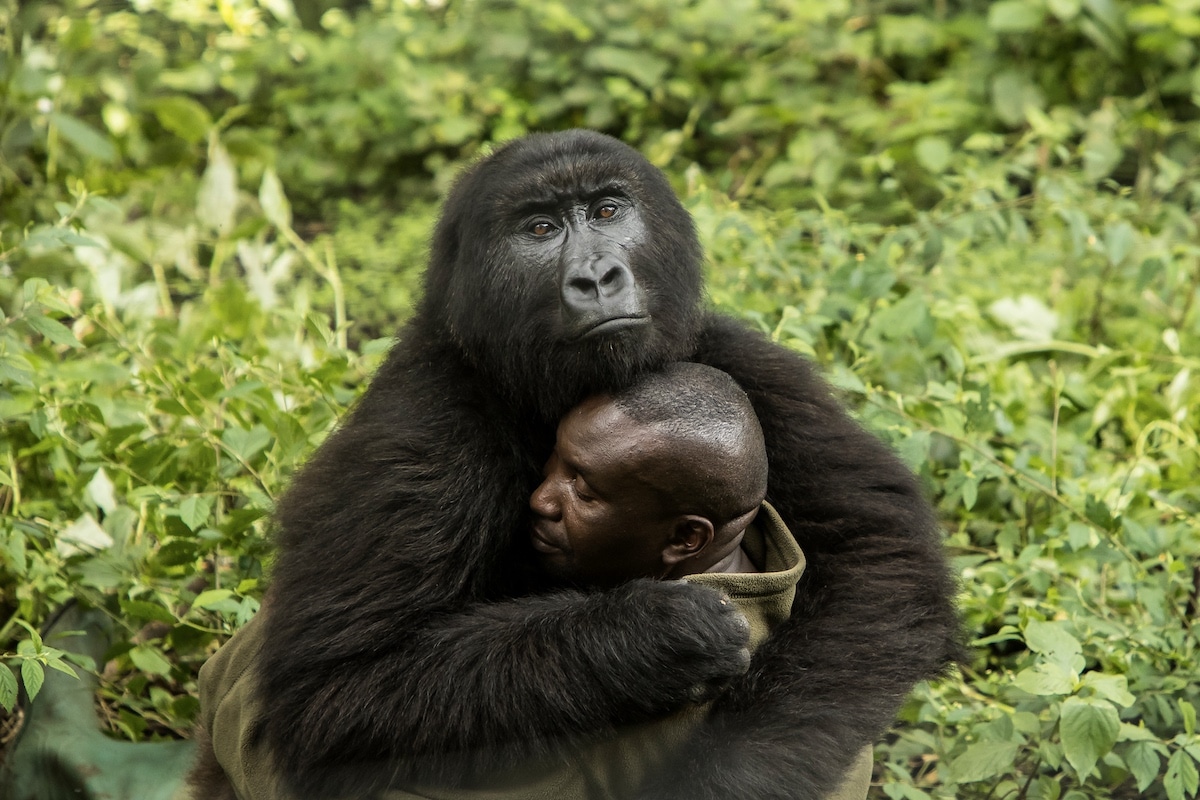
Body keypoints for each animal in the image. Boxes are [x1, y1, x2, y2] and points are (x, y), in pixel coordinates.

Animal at [250, 128, 955, 796]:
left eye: (608, 210)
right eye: (540, 228)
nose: (596, 278)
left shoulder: (738, 356)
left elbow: (882, 553)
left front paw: (724, 777)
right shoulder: (417, 427)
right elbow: (337, 693)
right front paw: (652, 639)